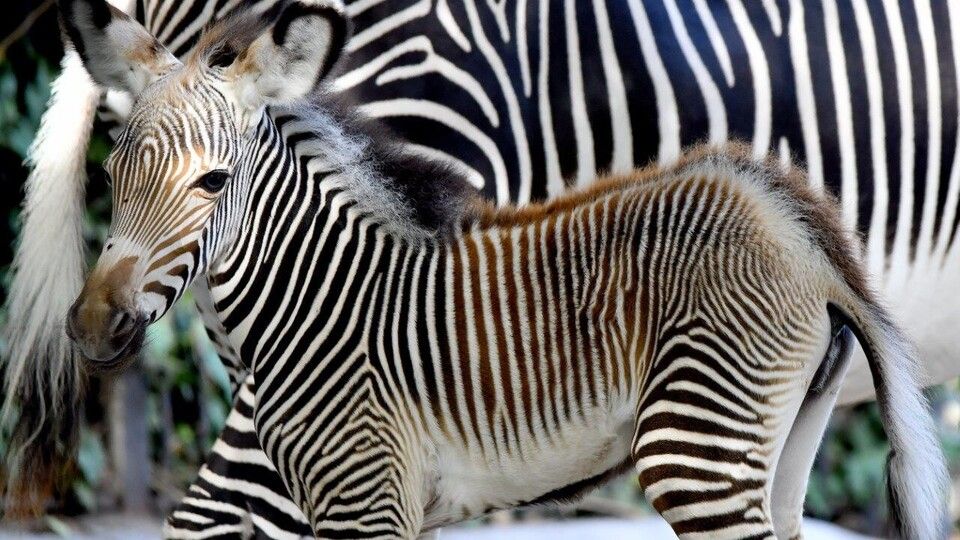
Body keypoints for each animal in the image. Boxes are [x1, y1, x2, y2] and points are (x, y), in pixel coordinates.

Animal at [4, 0, 960, 533]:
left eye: (212, 182)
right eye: (113, 175)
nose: (91, 326)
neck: (310, 300)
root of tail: (797, 228)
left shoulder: (366, 498)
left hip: (698, 448)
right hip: (780, 448)